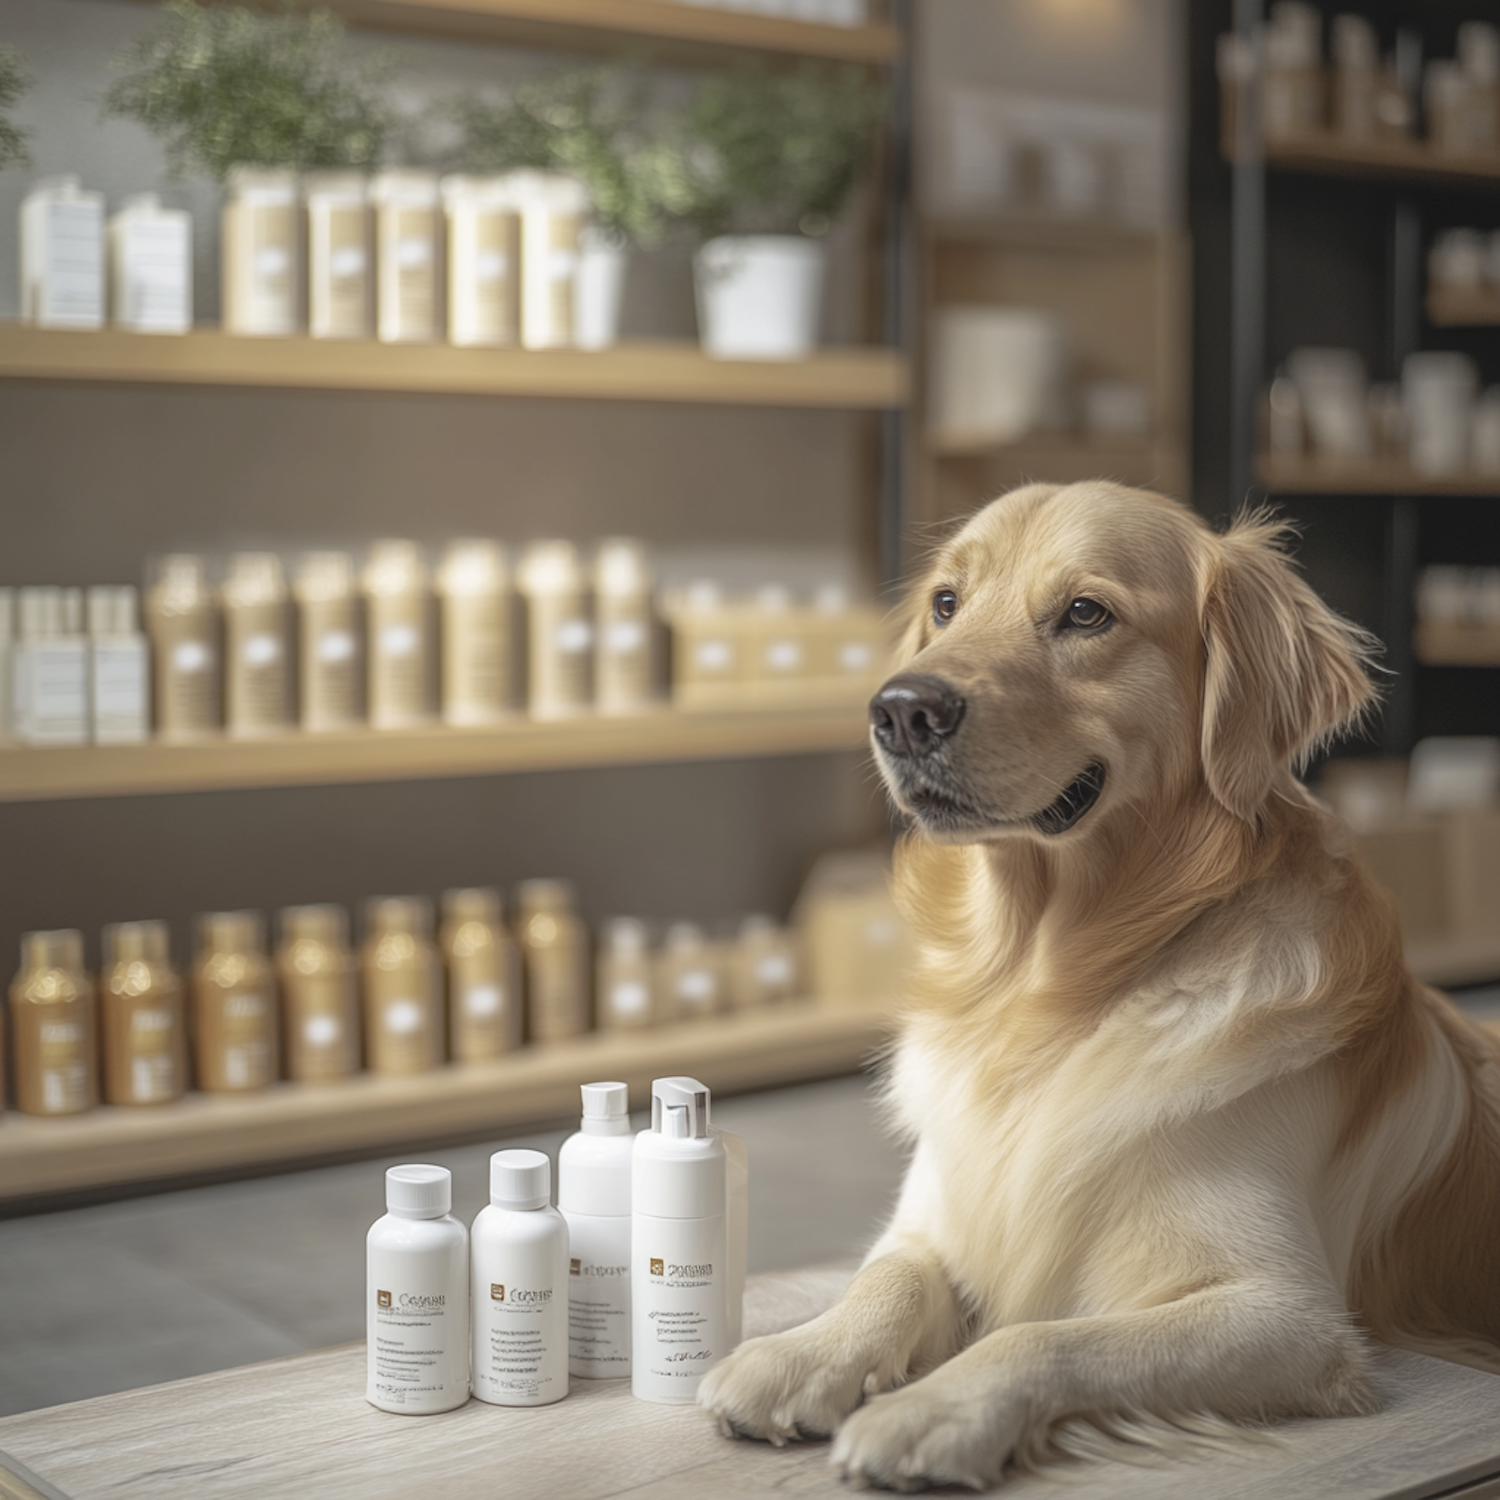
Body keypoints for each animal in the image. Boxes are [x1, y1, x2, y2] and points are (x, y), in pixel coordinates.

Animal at [702, 486, 1500, 1494]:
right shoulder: (935, 1208)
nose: (901, 710)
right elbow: (886, 1274)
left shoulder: (1287, 1312)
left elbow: (1048, 1335)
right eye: (947, 604)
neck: (1047, 986)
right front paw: (802, 1352)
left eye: (1086, 614)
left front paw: (932, 1411)